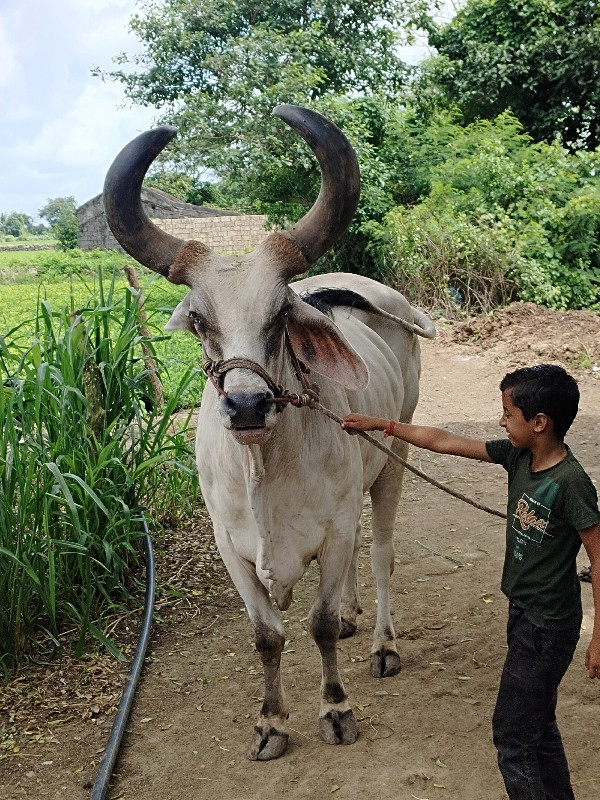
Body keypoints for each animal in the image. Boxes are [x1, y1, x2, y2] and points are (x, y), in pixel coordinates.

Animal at [101, 103, 434, 760]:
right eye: (198, 320)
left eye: (281, 313)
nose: (248, 405)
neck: (265, 471)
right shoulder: (231, 547)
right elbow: (268, 635)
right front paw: (272, 722)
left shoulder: (333, 528)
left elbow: (318, 624)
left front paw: (335, 709)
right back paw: (356, 616)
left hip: (395, 452)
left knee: (380, 552)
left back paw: (382, 642)